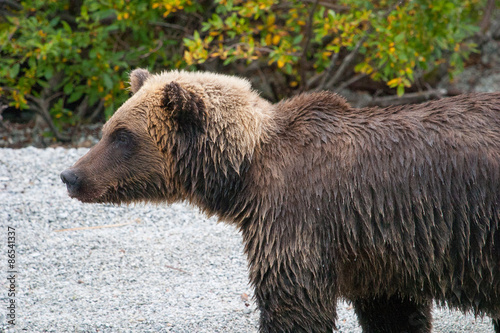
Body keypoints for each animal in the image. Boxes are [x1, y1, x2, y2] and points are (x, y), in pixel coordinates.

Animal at [62, 68, 500, 332]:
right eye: (107, 128)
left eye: (122, 135)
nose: (71, 176)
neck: (244, 173)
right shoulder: (378, 251)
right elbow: (392, 311)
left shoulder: (301, 219)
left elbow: (294, 304)